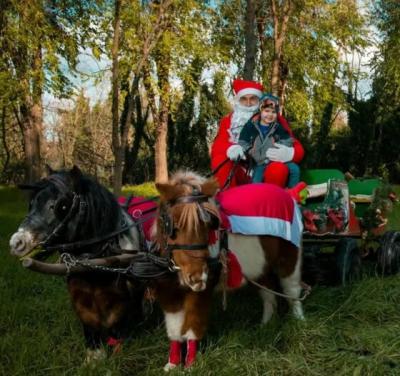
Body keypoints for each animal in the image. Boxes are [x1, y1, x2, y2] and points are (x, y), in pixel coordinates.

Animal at [9, 167, 145, 362]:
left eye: (61, 206)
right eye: (31, 203)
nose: (16, 243)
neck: (93, 261)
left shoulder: (120, 295)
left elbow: (116, 320)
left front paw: (117, 350)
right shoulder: (79, 293)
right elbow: (88, 321)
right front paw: (94, 356)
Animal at [153, 172, 304, 372]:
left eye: (209, 226)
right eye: (173, 227)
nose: (197, 278)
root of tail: (289, 194)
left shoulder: (201, 292)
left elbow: (193, 326)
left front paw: (191, 364)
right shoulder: (169, 293)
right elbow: (175, 330)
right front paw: (172, 363)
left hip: (290, 257)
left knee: (291, 291)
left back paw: (299, 321)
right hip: (261, 267)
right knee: (268, 295)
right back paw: (265, 325)